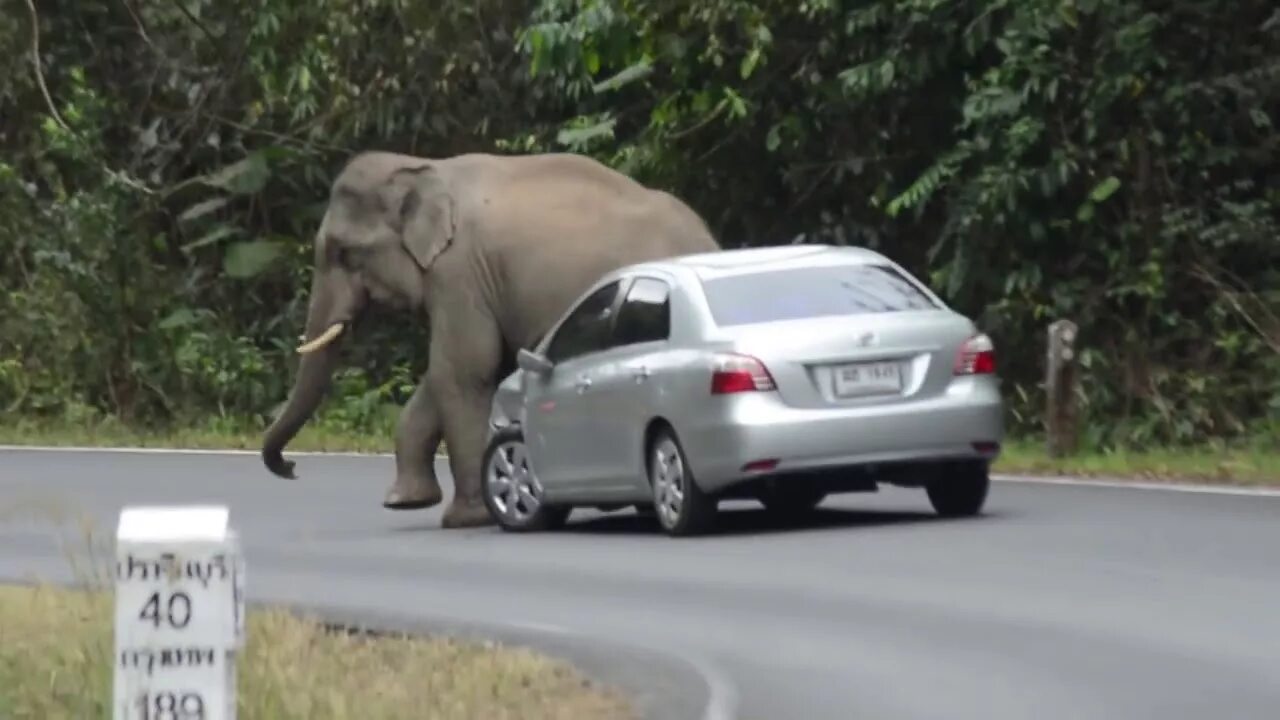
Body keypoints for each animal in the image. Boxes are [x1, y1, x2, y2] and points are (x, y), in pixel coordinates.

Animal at [259, 147, 721, 527]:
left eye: (343, 252)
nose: (292, 468)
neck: (423, 167)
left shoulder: (459, 271)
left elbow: (462, 370)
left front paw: (466, 519)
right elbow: (452, 374)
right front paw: (406, 502)